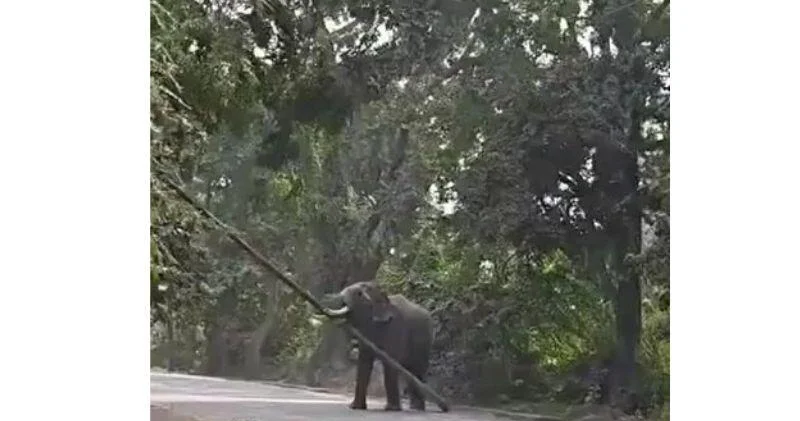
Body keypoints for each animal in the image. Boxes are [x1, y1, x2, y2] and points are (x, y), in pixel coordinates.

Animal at [322, 281, 434, 411]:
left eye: (359, 294)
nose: (324, 307)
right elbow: (364, 364)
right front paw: (355, 407)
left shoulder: (396, 329)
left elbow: (390, 364)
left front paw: (392, 409)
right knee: (410, 373)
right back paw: (414, 407)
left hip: (425, 342)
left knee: (417, 371)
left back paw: (417, 408)